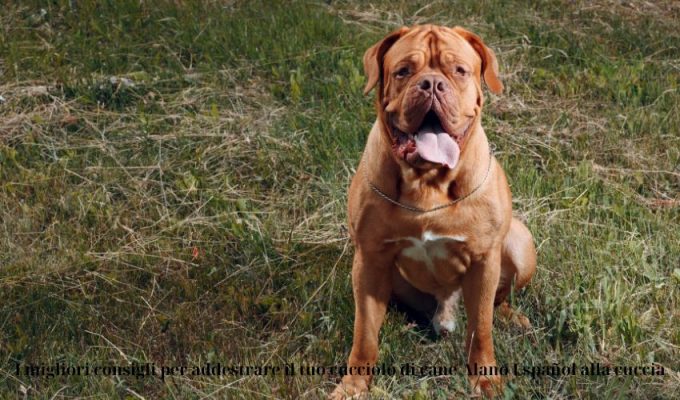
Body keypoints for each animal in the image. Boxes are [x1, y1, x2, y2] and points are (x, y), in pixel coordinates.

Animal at [332, 25, 540, 400]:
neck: (427, 182)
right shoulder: (369, 260)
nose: (431, 84)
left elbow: (481, 329)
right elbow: (364, 334)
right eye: (403, 71)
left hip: (520, 243)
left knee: (497, 303)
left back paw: (512, 318)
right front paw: (353, 386)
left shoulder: (485, 261)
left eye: (459, 71)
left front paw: (485, 380)